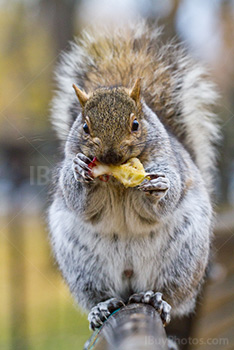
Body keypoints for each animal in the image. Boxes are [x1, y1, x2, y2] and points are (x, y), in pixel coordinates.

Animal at [47, 20, 219, 346]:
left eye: (136, 124)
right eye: (85, 127)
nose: (111, 155)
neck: (115, 182)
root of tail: (130, 282)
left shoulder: (169, 160)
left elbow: (161, 199)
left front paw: (160, 187)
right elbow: (80, 201)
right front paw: (79, 172)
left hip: (182, 259)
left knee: (171, 294)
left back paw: (155, 299)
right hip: (82, 266)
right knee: (100, 294)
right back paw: (102, 307)